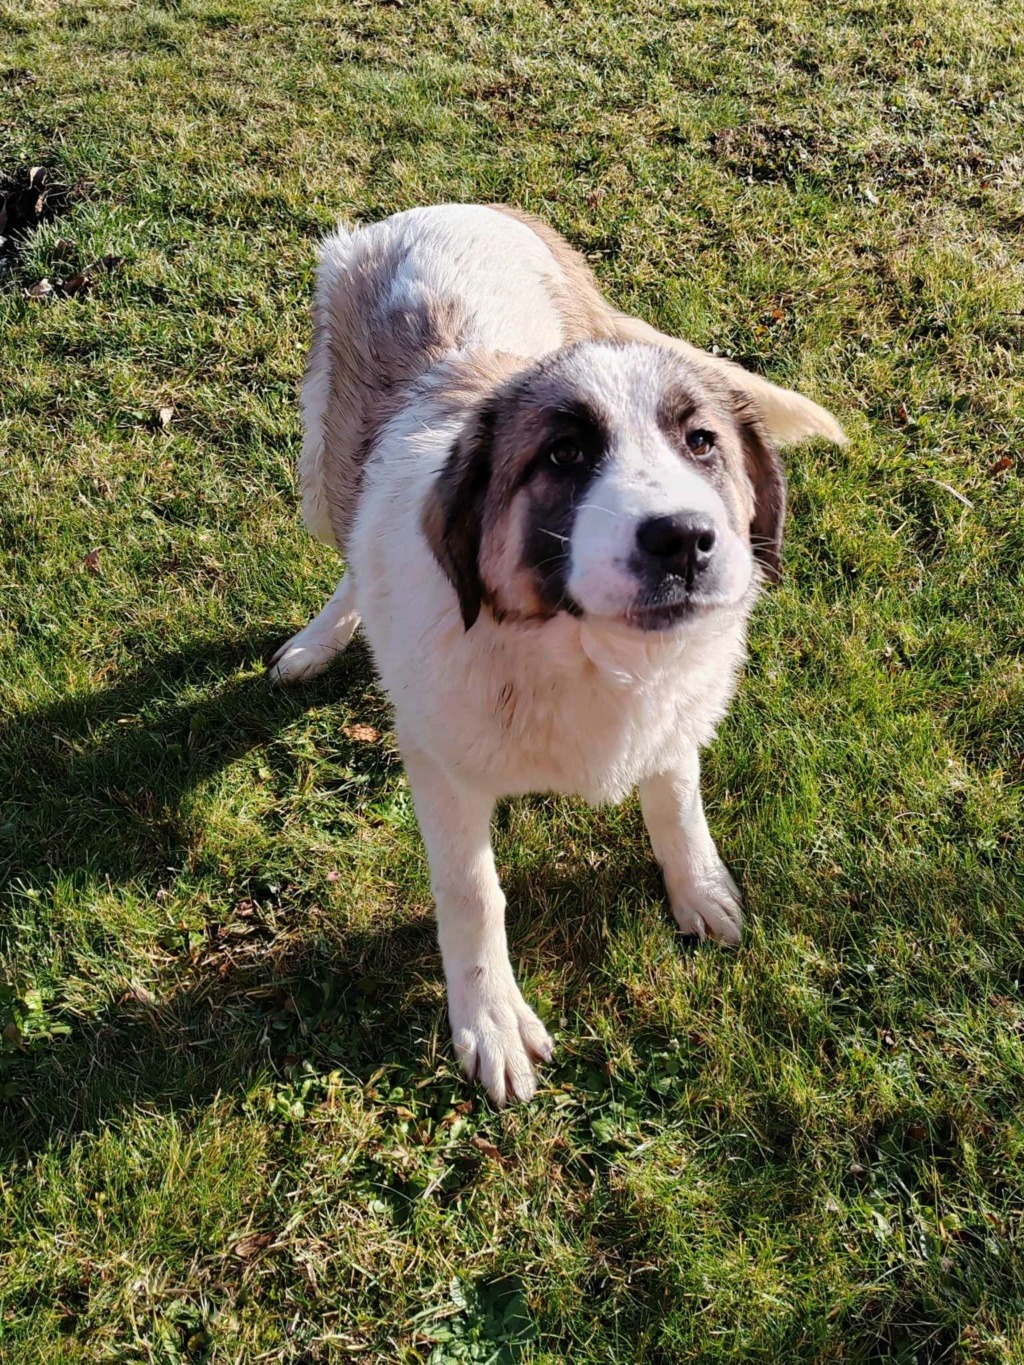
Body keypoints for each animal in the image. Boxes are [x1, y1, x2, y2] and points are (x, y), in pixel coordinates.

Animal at [268, 207, 846, 1108]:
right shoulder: (441, 765)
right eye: (564, 456)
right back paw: (322, 636)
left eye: (701, 442)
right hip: (324, 473)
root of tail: (455, 205)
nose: (684, 538)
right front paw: (490, 1017)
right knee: (349, 550)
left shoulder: (672, 720)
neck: (582, 650)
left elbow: (676, 801)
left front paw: (697, 885)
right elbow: (473, 891)